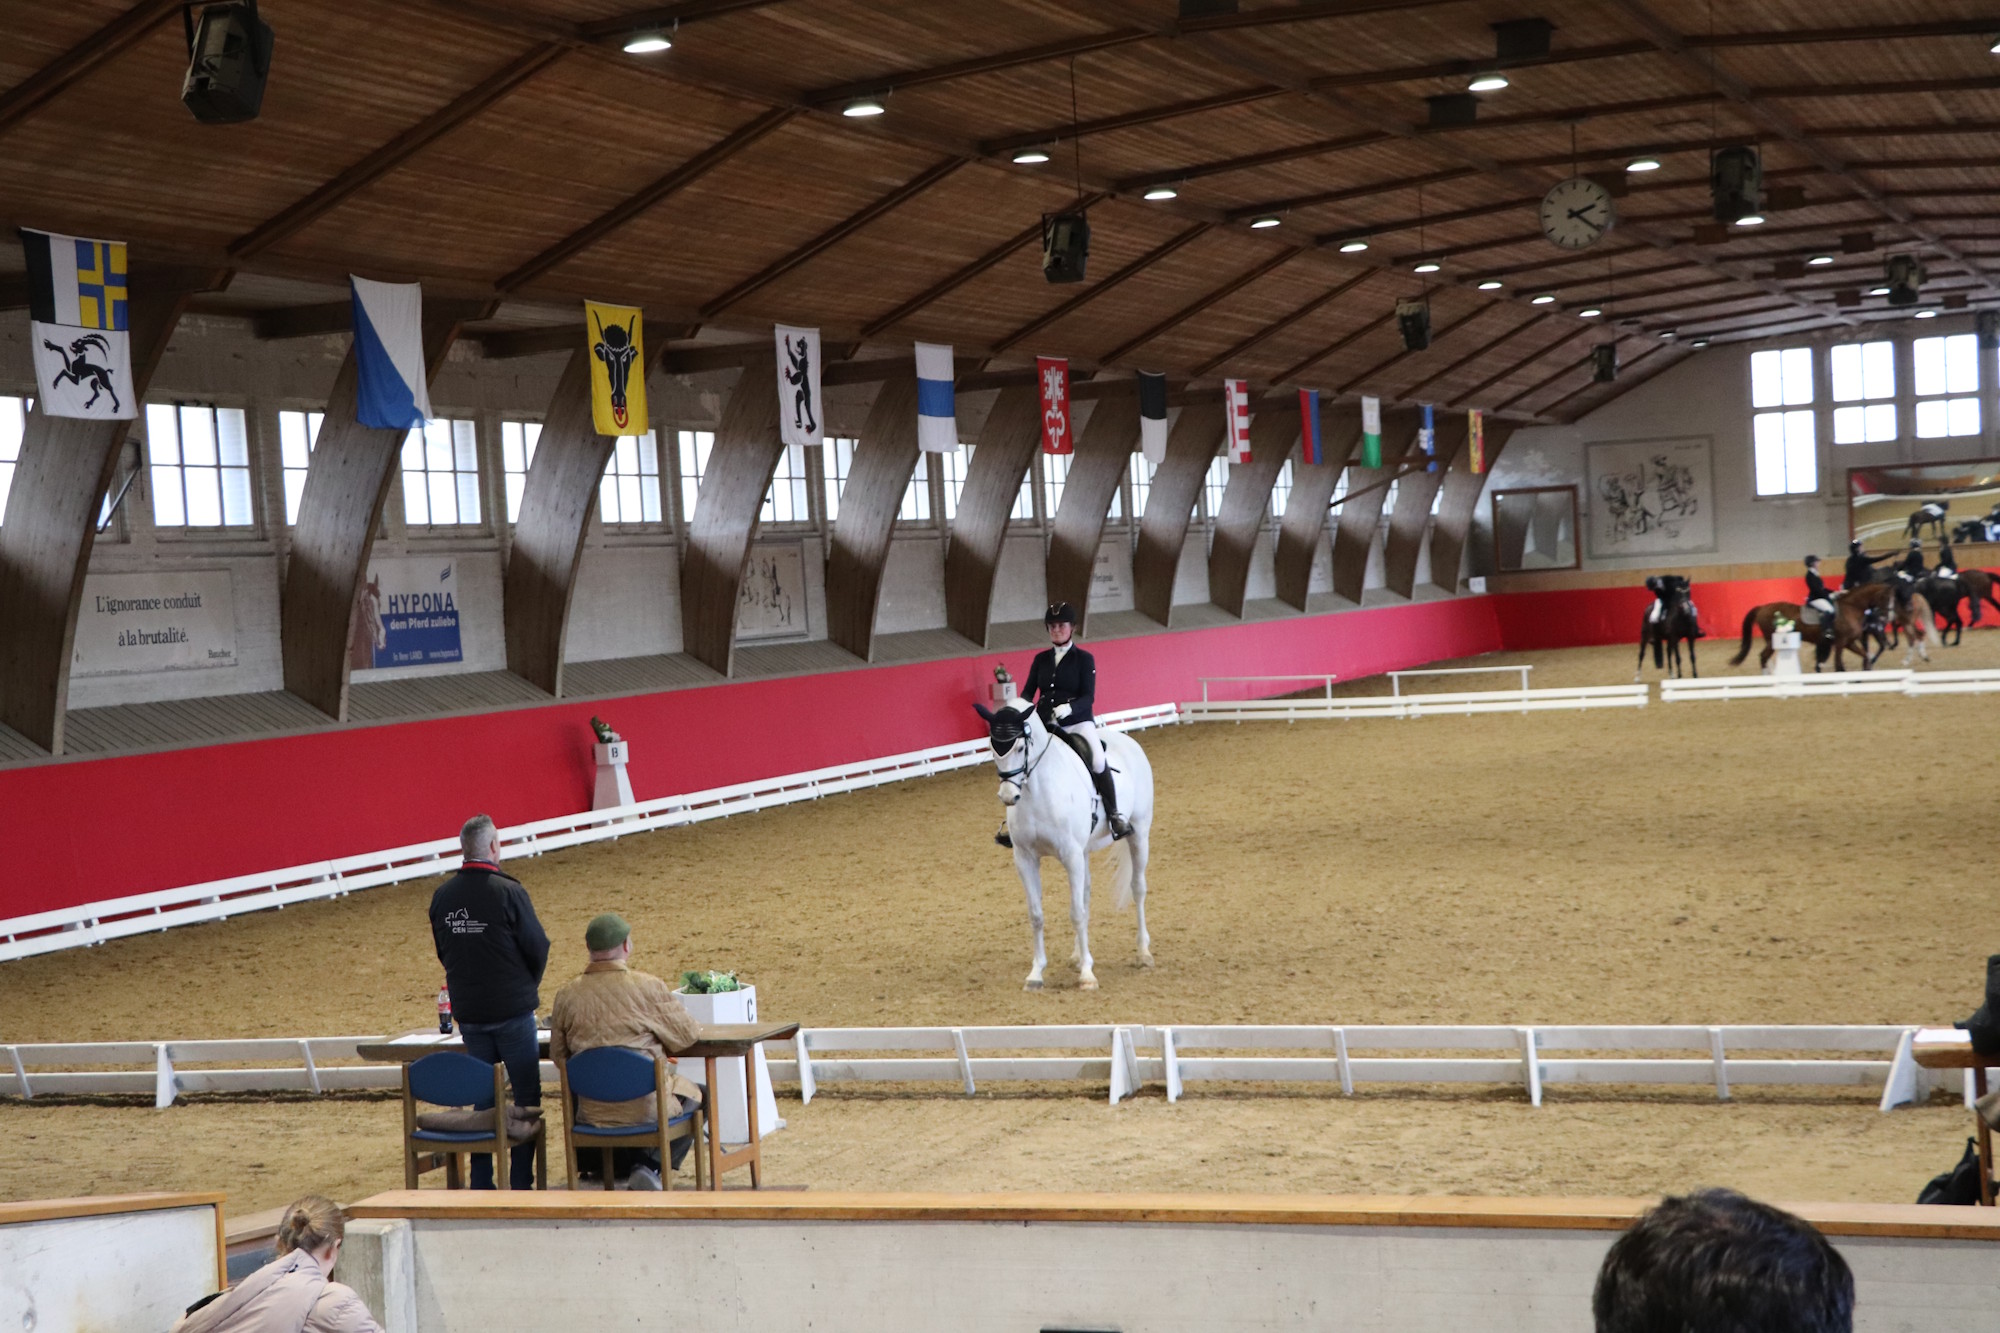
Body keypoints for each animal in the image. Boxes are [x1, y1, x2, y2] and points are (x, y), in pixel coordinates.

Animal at [973, 699, 1154, 991]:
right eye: (992, 747)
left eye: (1020, 747)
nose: (1008, 796)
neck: (1037, 790)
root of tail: (1128, 741)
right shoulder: (1025, 858)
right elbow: (1037, 915)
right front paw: (1036, 973)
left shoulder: (1070, 855)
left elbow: (1076, 913)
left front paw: (1088, 976)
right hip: (1085, 851)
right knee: (1087, 895)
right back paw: (1078, 956)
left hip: (1138, 834)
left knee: (1137, 888)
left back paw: (1143, 953)